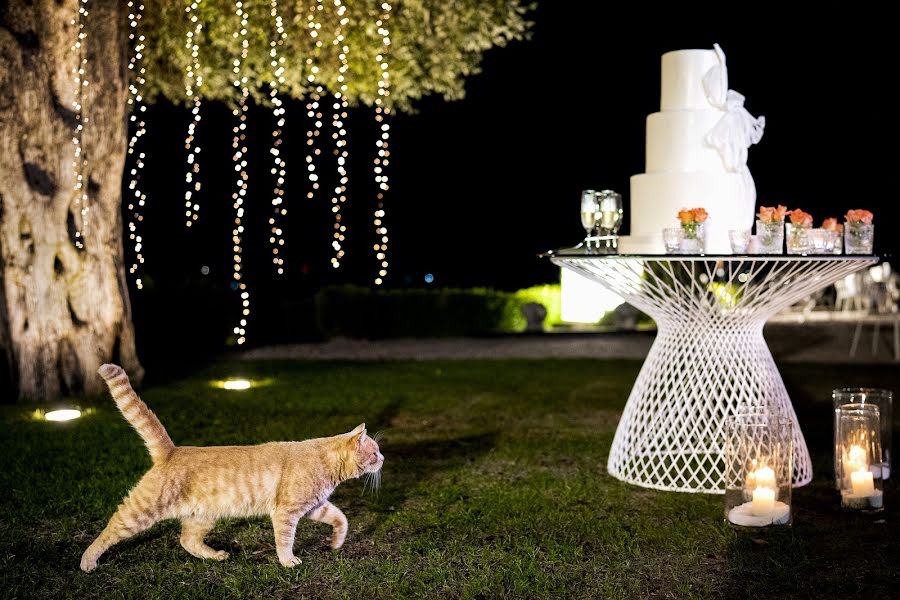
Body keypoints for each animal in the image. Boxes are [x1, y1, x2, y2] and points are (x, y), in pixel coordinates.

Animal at [80, 366, 384, 572]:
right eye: (374, 451)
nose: (383, 459)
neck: (326, 461)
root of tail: (172, 450)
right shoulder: (286, 513)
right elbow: (284, 541)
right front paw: (288, 561)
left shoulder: (315, 506)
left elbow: (341, 518)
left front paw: (336, 543)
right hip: (141, 511)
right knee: (111, 529)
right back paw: (88, 560)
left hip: (204, 517)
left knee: (187, 539)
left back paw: (216, 555)